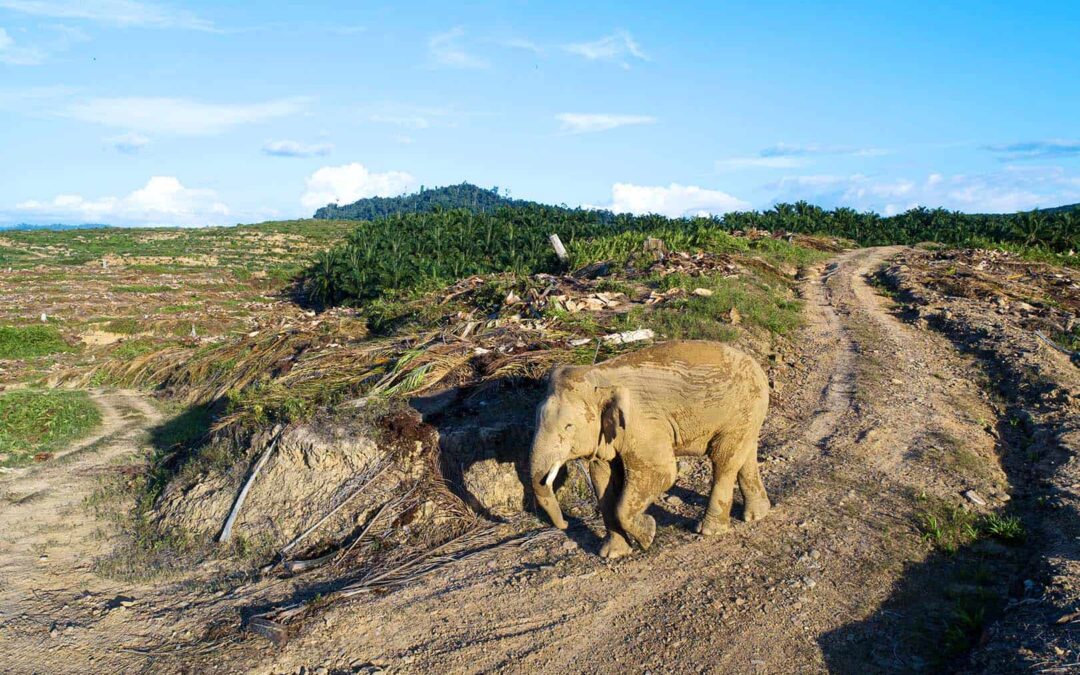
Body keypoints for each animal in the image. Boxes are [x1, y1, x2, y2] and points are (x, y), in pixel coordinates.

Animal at [529, 340, 771, 559]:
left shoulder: (643, 424)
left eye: (568, 426)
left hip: (741, 409)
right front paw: (613, 554)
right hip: (748, 414)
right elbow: (601, 477)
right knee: (744, 455)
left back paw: (709, 531)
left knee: (723, 460)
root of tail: (757, 365)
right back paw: (756, 515)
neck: (598, 374)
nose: (565, 523)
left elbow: (662, 472)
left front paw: (648, 535)